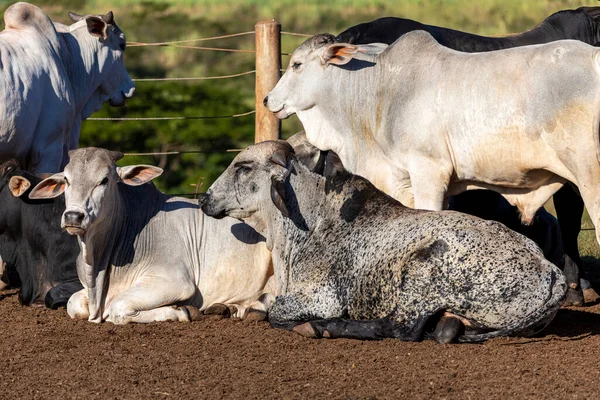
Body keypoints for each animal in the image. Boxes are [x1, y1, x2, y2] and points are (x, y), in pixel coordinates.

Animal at [203, 141, 568, 344]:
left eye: (243, 167)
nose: (205, 199)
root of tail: (552, 272)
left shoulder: (323, 297)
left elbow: (276, 311)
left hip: (422, 271)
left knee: (399, 328)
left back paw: (324, 327)